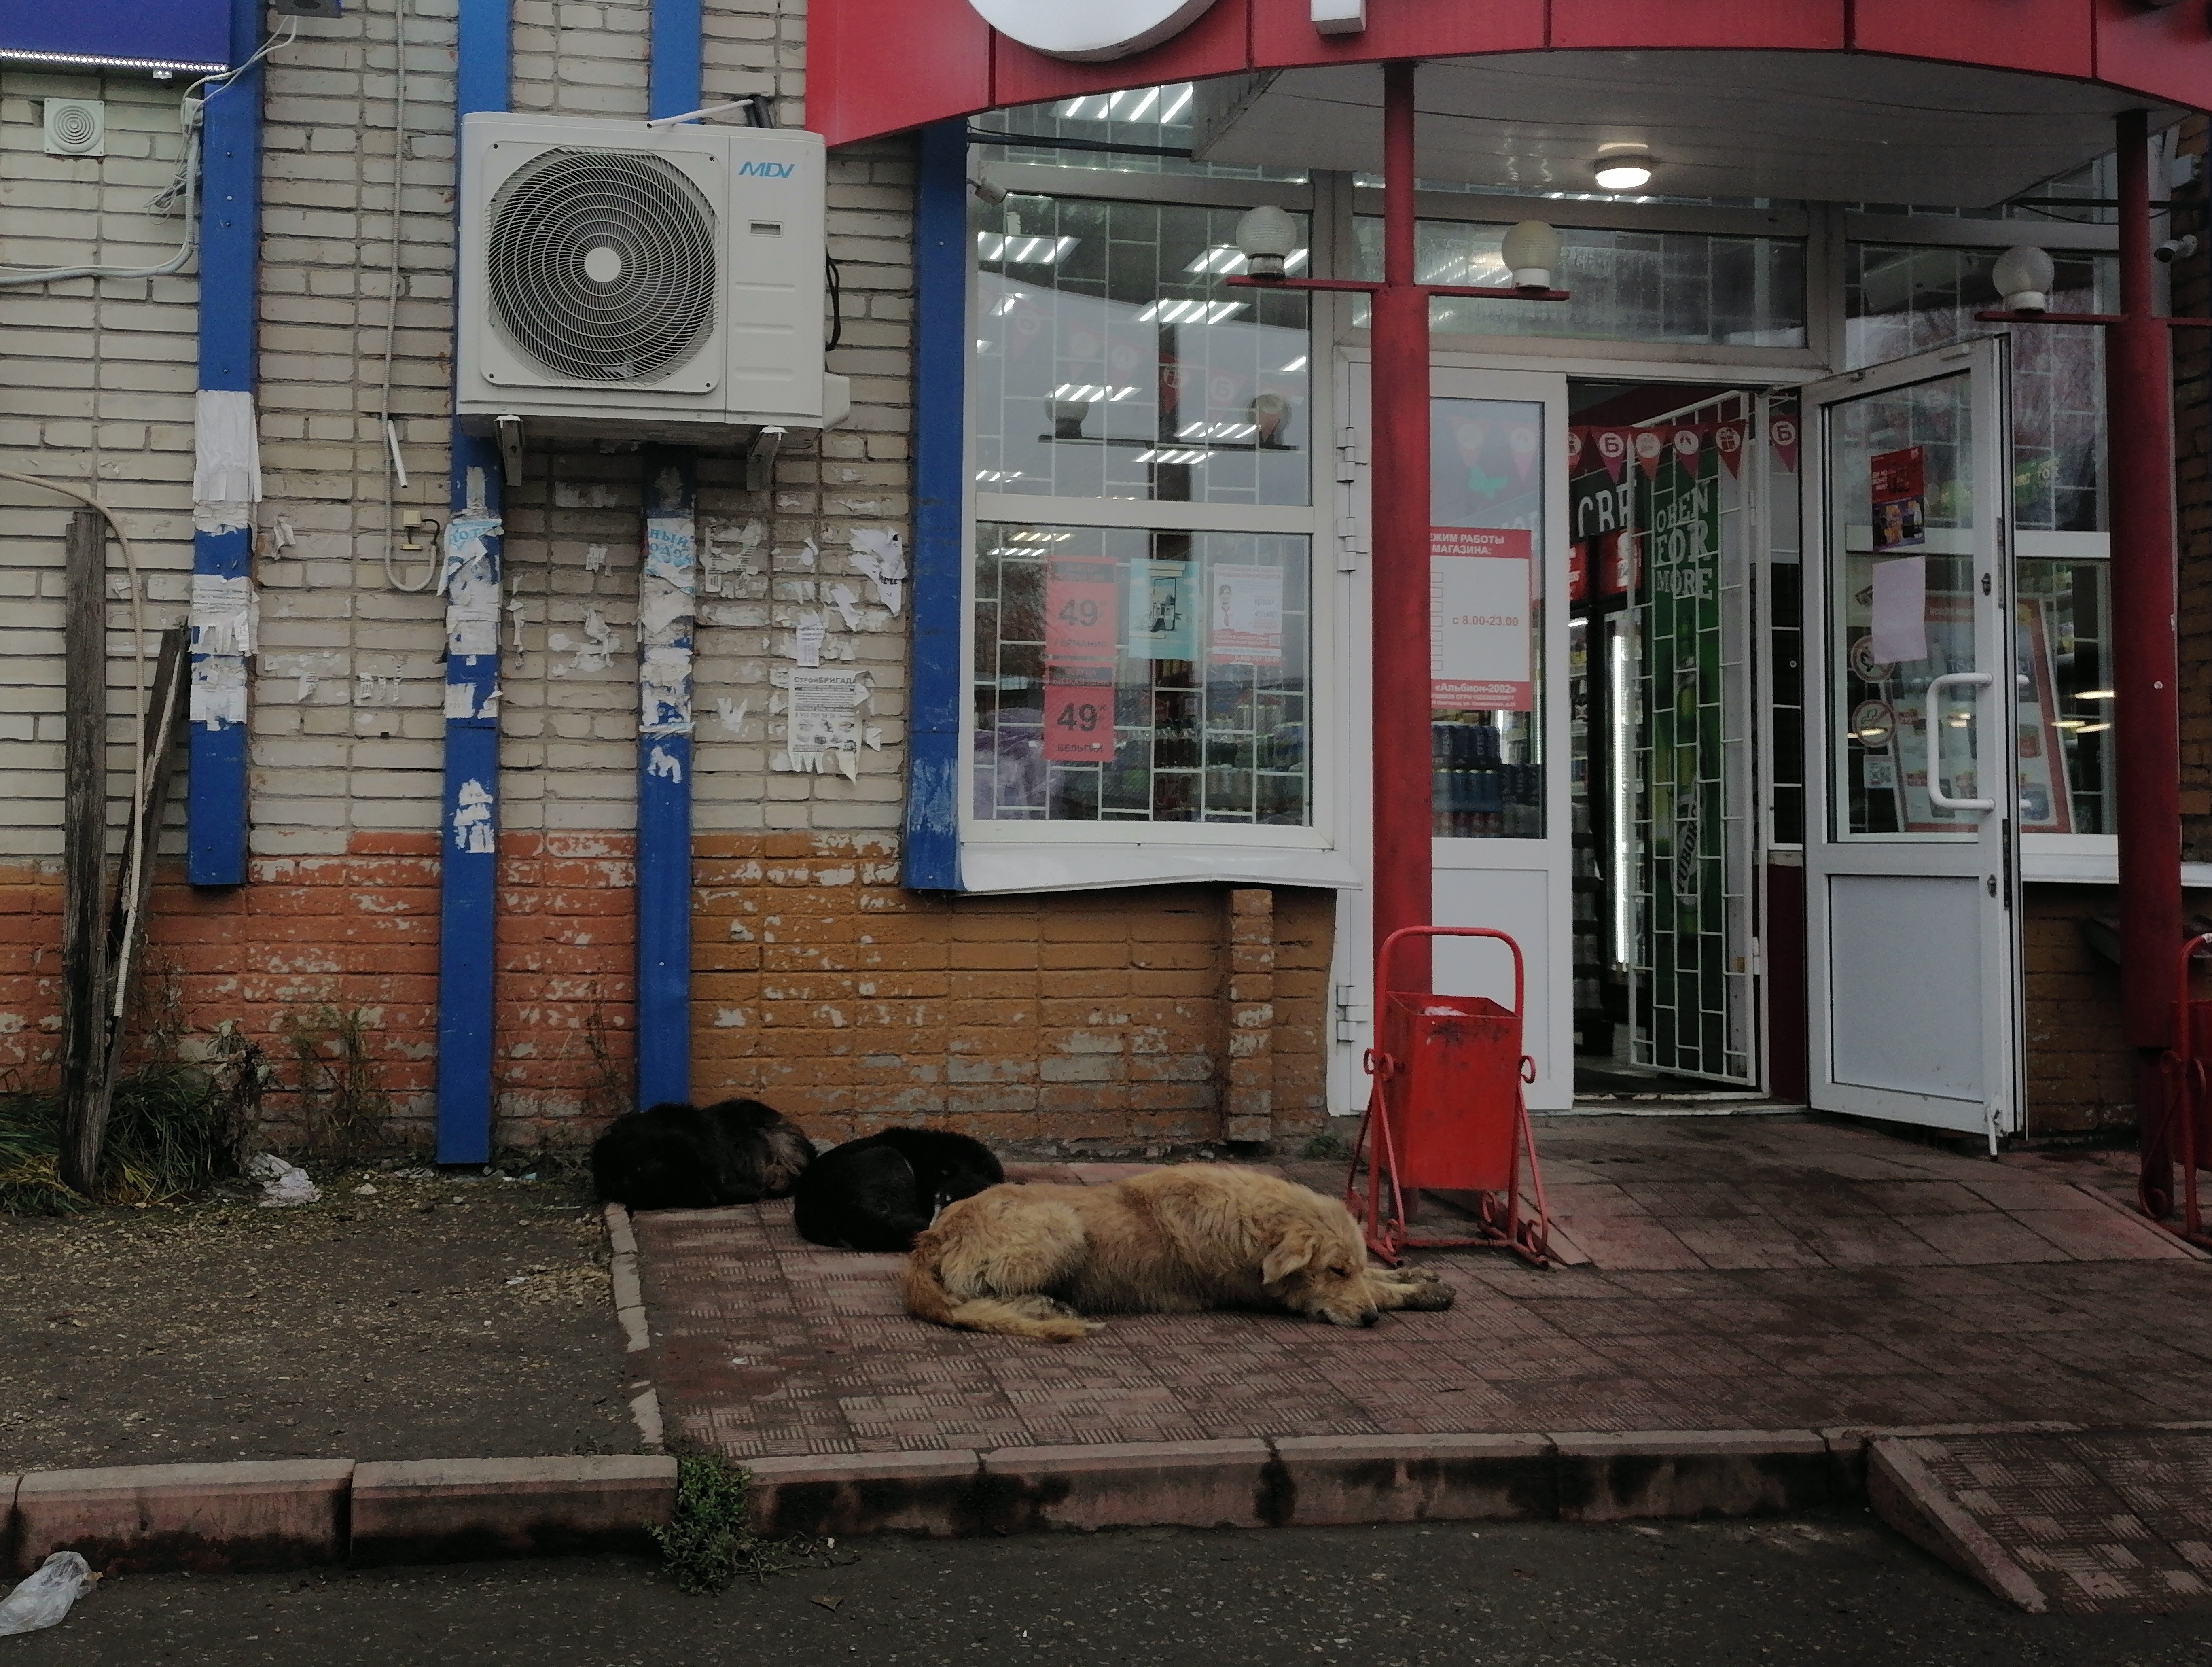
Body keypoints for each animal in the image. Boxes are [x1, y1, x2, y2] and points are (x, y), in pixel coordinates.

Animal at [898, 1160, 1451, 1346]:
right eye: (1332, 1270)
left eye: (1348, 1267)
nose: (1370, 1321)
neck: (1252, 1221)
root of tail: (930, 1237)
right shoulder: (1267, 1294)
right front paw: (1404, 1295)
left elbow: (1381, 1279)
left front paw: (1418, 1281)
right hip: (1063, 1224)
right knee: (979, 1299)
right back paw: (1045, 1306)